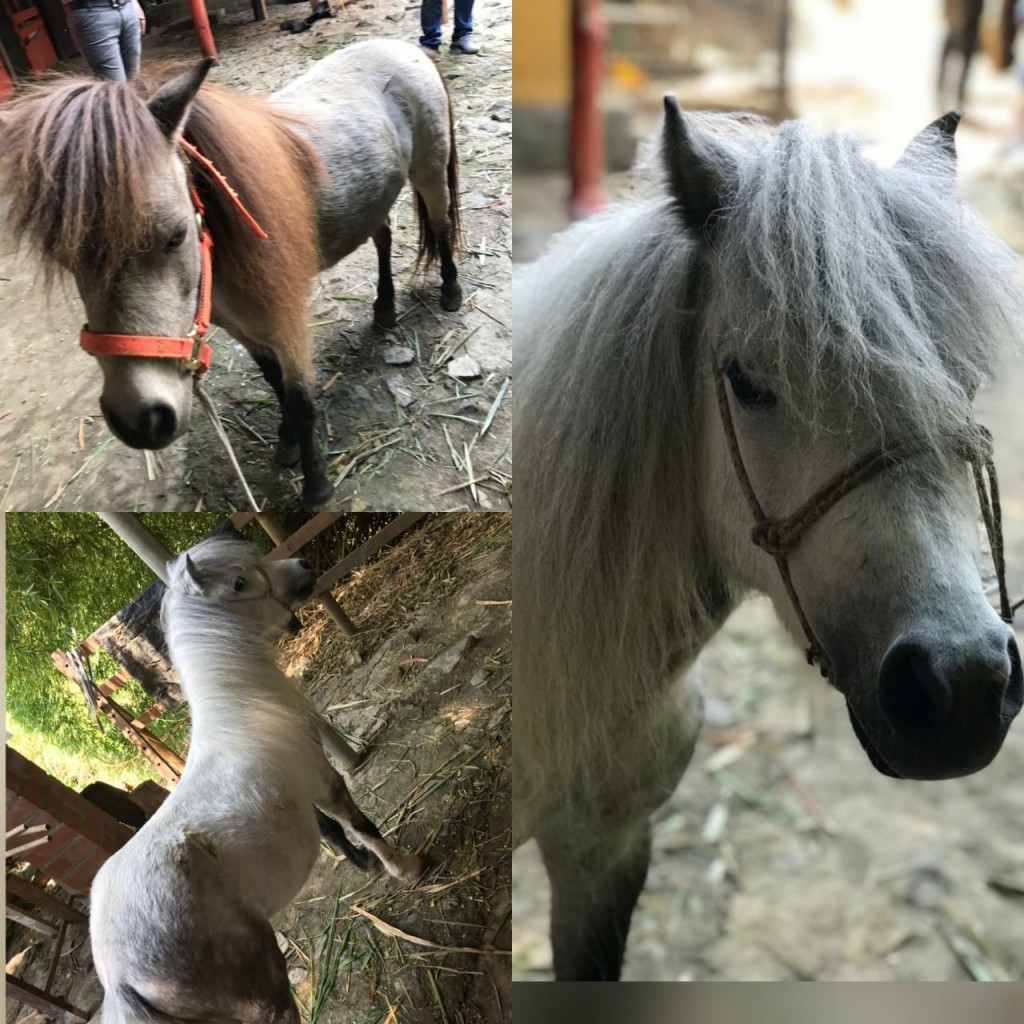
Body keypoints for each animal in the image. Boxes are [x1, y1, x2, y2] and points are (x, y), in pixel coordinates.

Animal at [0, 40, 461, 505]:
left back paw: (450, 293)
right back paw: (383, 308)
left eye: (176, 235)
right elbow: (276, 385)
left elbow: (300, 398)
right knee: (383, 238)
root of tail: (404, 46)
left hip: (429, 173)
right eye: (64, 256)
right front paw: (287, 443)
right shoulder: (245, 328)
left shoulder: (286, 321)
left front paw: (315, 484)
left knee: (441, 227)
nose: (140, 420)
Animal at [89, 537, 427, 1022]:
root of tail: (119, 979)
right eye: (239, 583)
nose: (304, 565)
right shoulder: (324, 779)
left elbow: (332, 832)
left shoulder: (303, 792)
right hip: (265, 998)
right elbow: (362, 825)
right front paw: (405, 868)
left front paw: (363, 864)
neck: (240, 713)